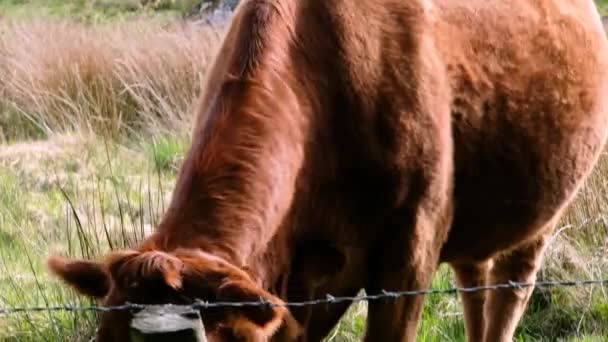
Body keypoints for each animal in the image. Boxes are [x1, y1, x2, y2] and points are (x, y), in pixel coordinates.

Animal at [47, 0, 608, 340]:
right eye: (103, 338)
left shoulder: (409, 254)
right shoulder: (297, 288)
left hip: (541, 219)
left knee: (508, 298)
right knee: (476, 285)